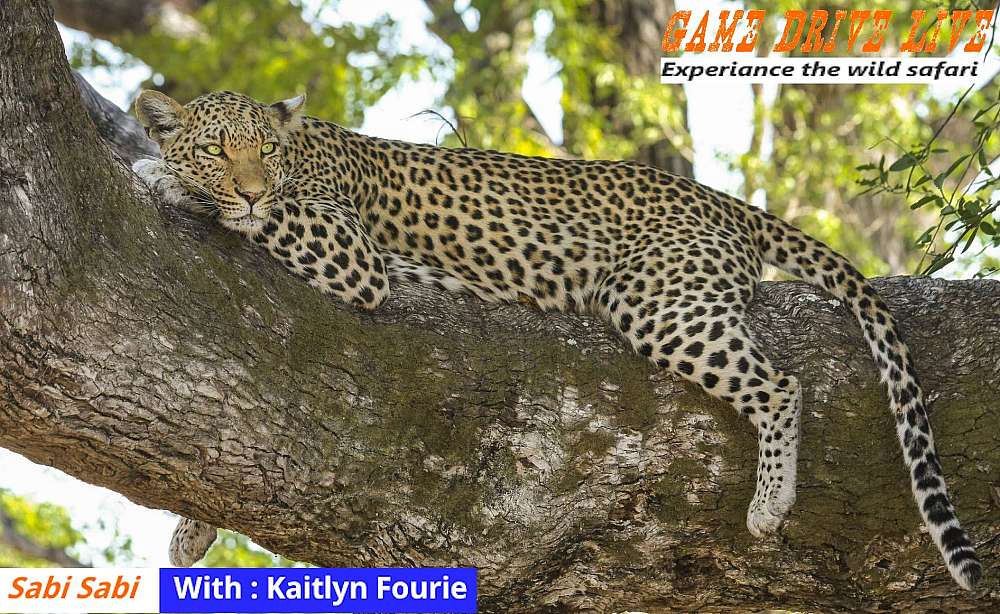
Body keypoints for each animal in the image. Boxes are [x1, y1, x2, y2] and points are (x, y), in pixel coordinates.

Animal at [132, 89, 981, 589]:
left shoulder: (350, 252)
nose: (248, 185)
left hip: (655, 299)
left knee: (780, 385)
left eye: (264, 152)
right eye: (218, 148)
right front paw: (191, 529)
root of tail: (718, 199)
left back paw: (770, 503)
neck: (302, 151)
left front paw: (161, 175)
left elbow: (271, 216)